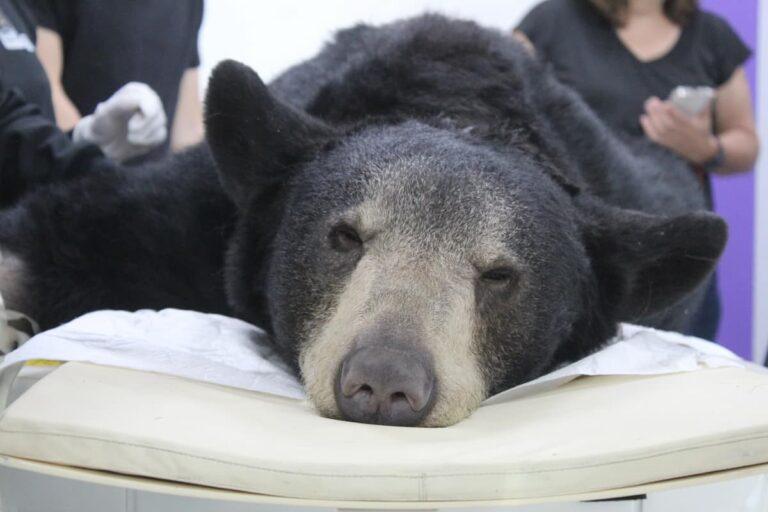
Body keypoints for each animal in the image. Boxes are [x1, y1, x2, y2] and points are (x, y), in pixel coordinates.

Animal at [0, 15, 725, 427]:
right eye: (342, 237)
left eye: (499, 275)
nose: (383, 382)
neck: (455, 106)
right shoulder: (196, 220)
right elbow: (68, 229)